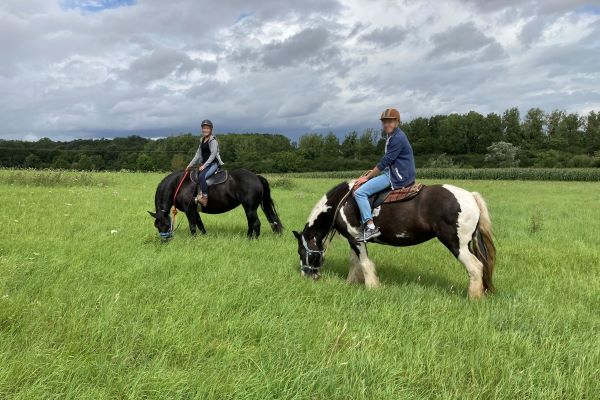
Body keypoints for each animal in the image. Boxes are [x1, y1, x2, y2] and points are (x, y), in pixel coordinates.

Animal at [149, 168, 282, 238]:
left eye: (167, 224)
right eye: (156, 226)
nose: (164, 241)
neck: (179, 184)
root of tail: (256, 177)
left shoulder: (189, 210)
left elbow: (193, 226)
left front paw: (193, 240)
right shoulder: (195, 210)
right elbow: (200, 224)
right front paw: (204, 237)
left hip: (250, 208)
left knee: (256, 223)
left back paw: (253, 240)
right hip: (248, 208)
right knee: (251, 223)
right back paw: (248, 237)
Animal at [292, 180, 496, 298]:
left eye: (302, 252)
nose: (306, 276)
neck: (342, 203)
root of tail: (470, 196)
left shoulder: (357, 239)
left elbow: (364, 263)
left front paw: (372, 287)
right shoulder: (353, 239)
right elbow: (354, 262)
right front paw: (351, 283)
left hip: (456, 244)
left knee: (476, 267)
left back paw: (473, 298)